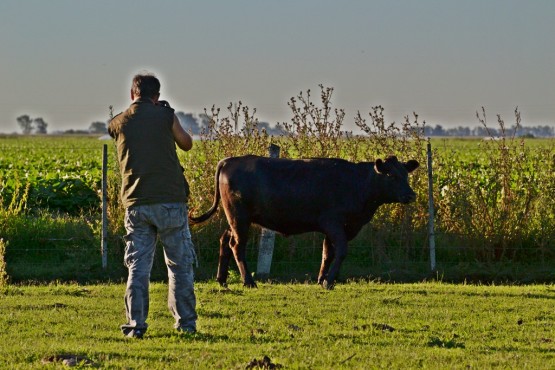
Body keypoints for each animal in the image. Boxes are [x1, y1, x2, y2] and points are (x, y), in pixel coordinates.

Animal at [189, 153, 420, 290]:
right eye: (391, 176)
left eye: (406, 175)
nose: (411, 195)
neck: (357, 184)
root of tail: (229, 160)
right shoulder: (334, 223)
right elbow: (341, 251)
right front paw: (329, 281)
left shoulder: (337, 228)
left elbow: (327, 253)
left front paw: (322, 279)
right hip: (239, 217)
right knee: (236, 245)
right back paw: (248, 281)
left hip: (237, 219)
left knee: (225, 239)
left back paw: (222, 279)